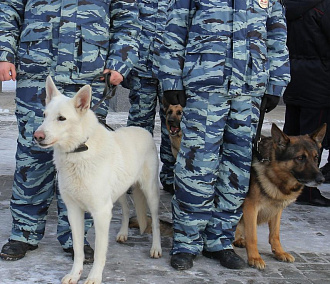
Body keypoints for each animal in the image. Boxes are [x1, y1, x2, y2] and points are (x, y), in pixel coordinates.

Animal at [33, 76, 162, 284]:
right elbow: (77, 249)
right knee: (126, 210)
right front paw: (74, 274)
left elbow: (100, 252)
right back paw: (123, 233)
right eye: (44, 115)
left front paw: (94, 277)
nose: (37, 136)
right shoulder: (73, 211)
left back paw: (156, 248)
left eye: (61, 118)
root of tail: (143, 131)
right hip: (119, 193)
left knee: (156, 222)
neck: (78, 151)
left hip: (150, 193)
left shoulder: (101, 213)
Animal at [233, 123, 326, 270]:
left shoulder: (277, 208)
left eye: (316, 157)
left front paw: (279, 252)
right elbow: (253, 236)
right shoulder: (250, 208)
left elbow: (275, 234)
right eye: (300, 158)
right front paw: (255, 258)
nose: (321, 179)